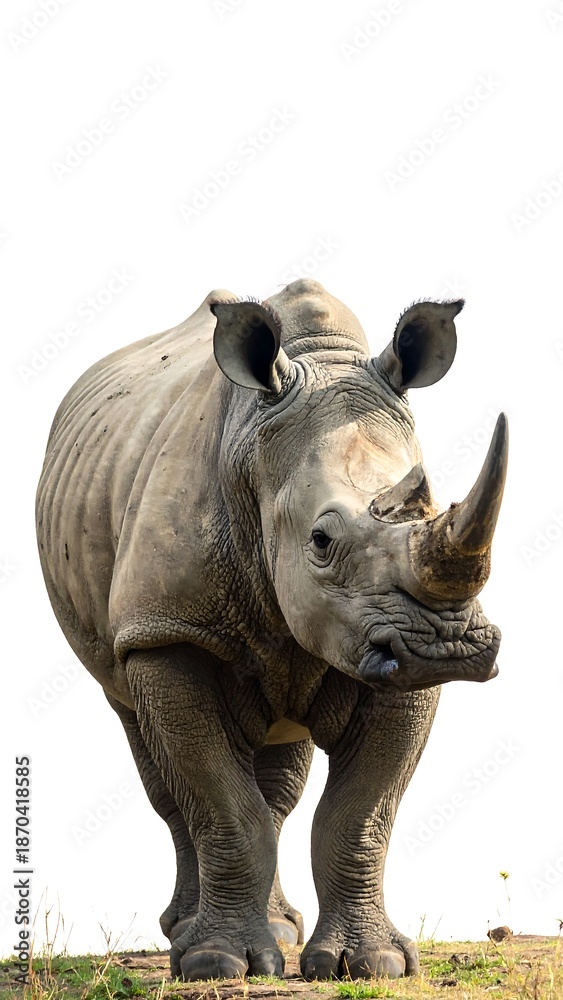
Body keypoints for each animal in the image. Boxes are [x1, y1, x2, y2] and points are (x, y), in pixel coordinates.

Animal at [36, 278, 507, 982]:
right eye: (321, 541)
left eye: (435, 507)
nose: (447, 647)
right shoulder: (166, 629)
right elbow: (221, 804)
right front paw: (214, 963)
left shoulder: (393, 654)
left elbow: (361, 815)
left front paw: (371, 964)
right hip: (129, 626)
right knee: (148, 744)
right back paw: (187, 936)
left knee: (277, 778)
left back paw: (281, 931)